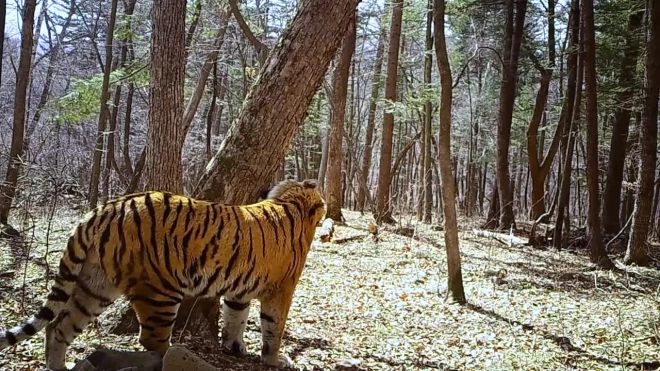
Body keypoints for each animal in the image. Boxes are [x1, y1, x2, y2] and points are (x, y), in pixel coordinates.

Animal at [0, 179, 324, 370]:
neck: (288, 200)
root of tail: (101, 211)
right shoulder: (281, 289)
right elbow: (273, 327)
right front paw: (275, 359)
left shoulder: (239, 290)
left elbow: (236, 318)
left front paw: (235, 348)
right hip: (160, 292)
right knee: (153, 342)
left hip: (95, 286)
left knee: (58, 327)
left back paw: (59, 367)